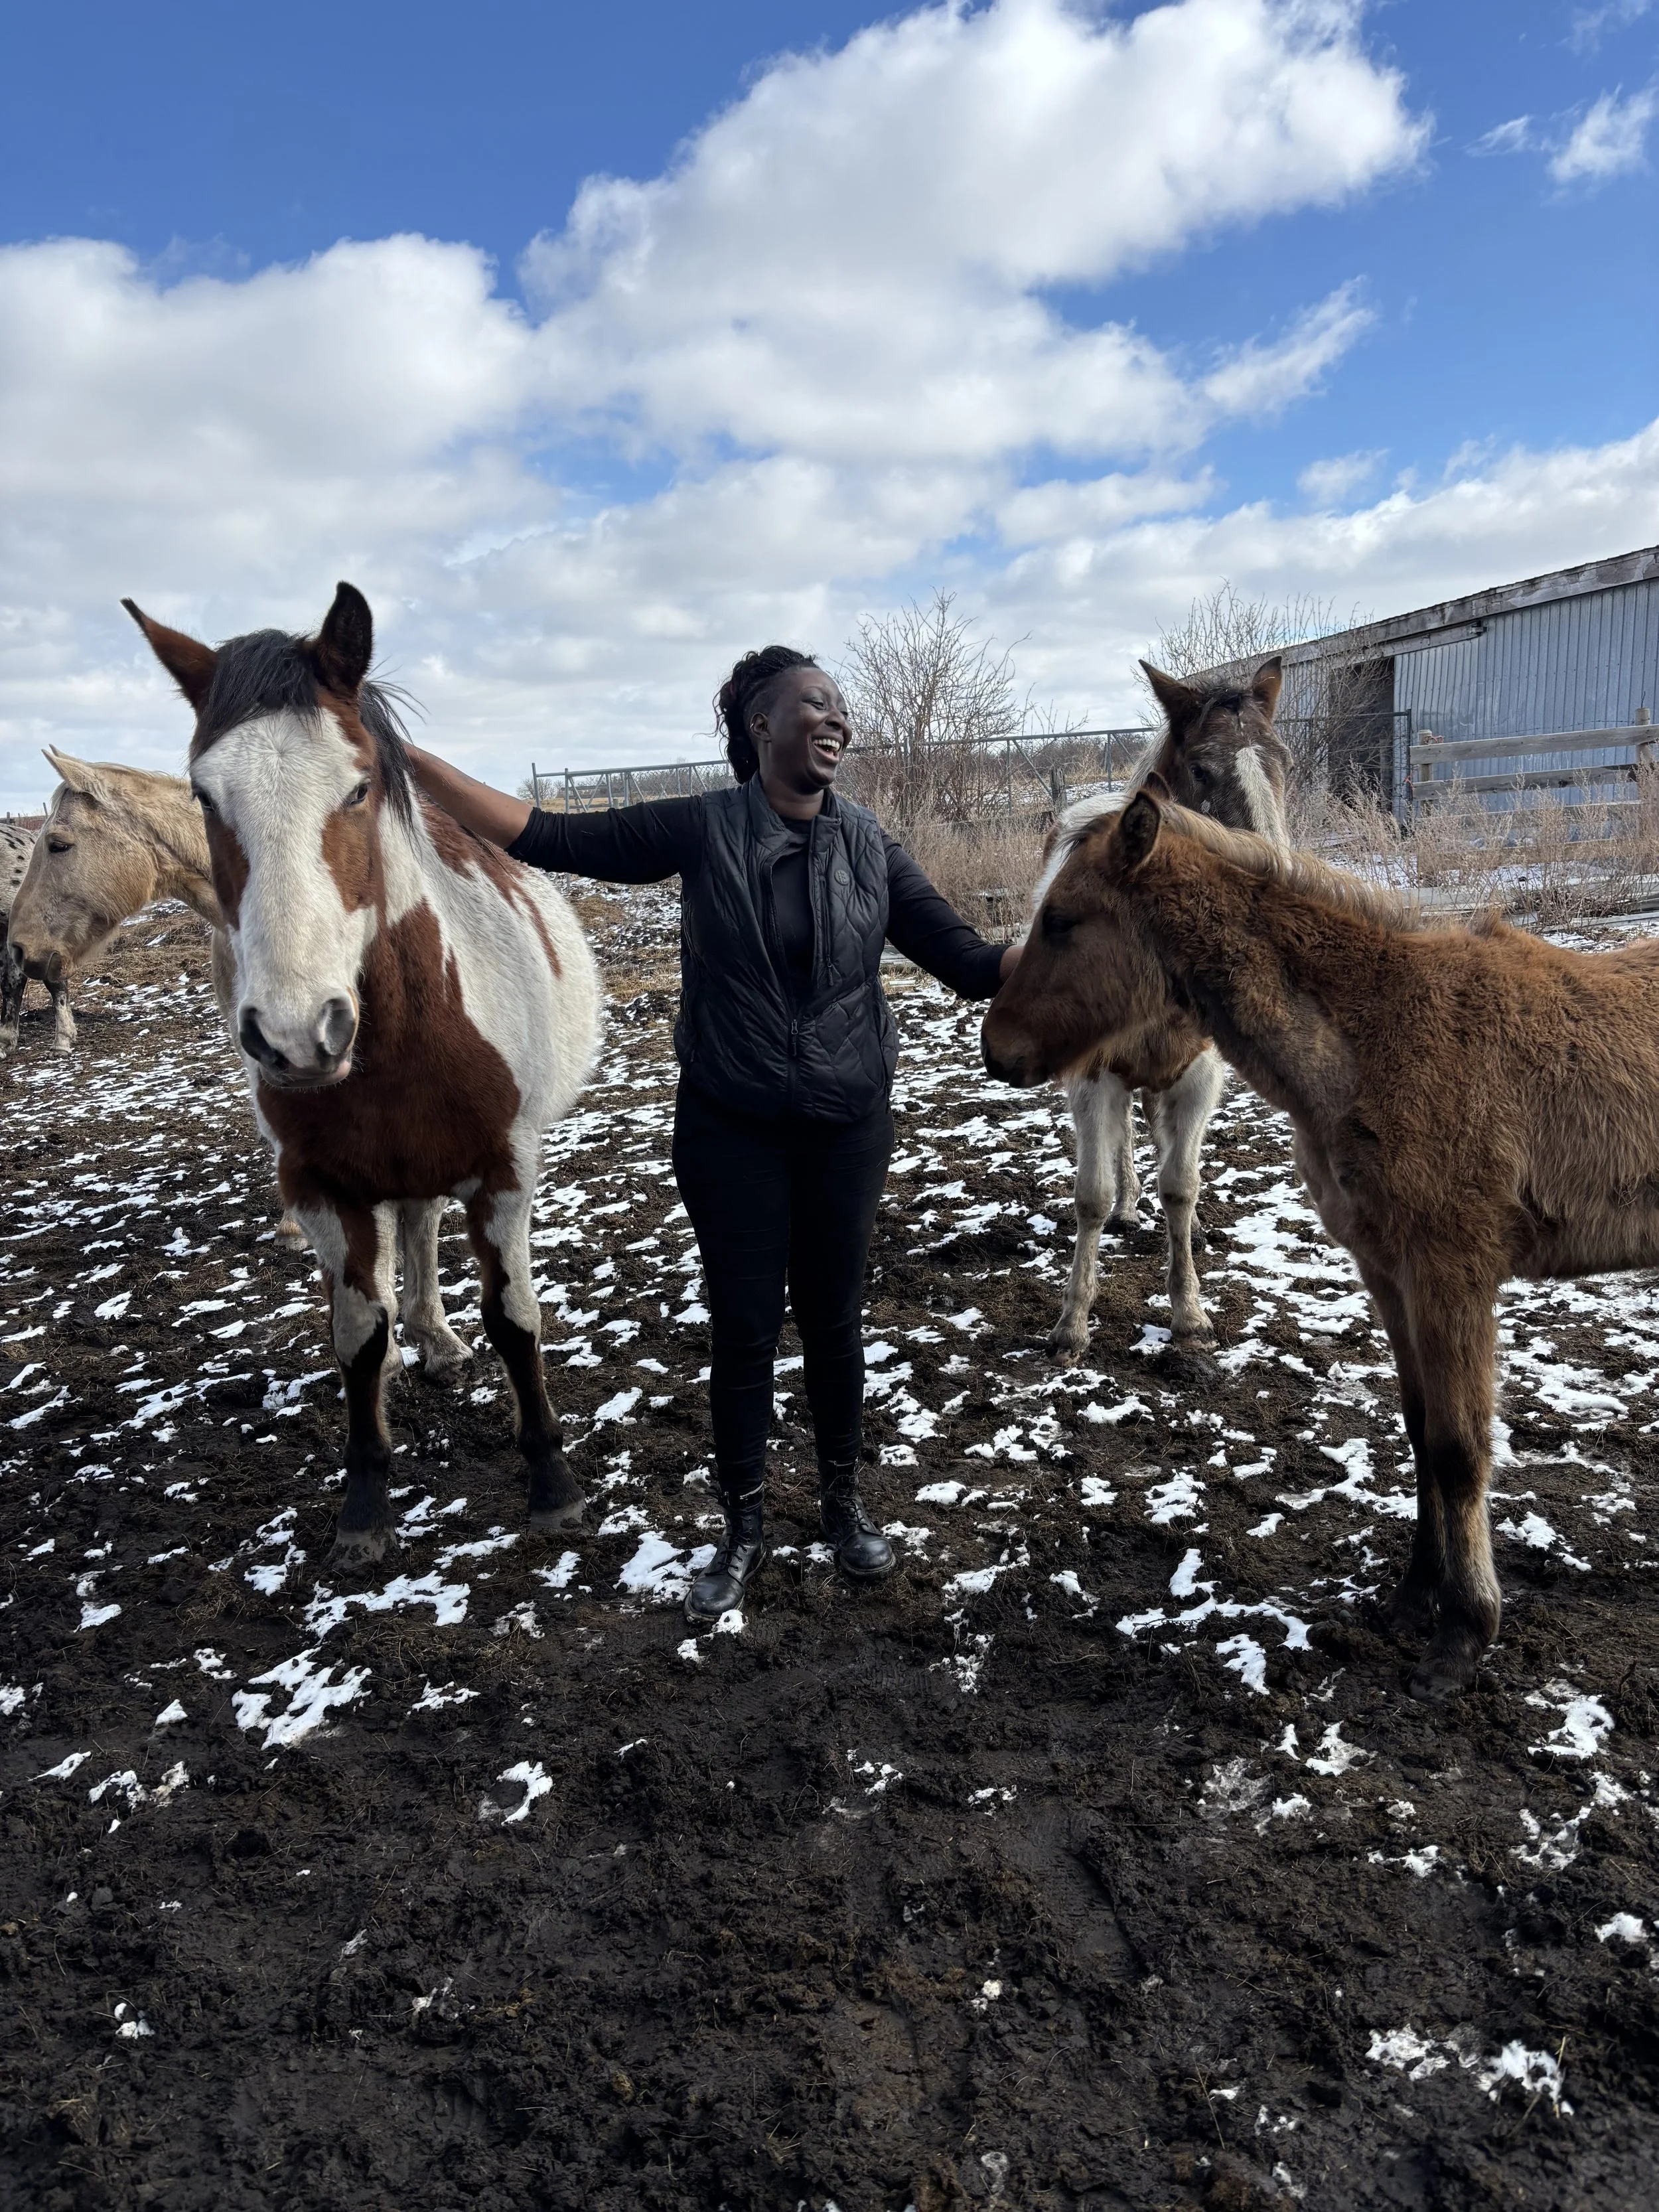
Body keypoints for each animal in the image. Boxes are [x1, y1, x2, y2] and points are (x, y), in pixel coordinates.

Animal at [124, 582, 602, 1565]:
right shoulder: (321, 1190)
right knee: (412, 1228)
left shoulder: (505, 1174)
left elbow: (516, 1319)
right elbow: (357, 1337)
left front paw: (551, 1481)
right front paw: (365, 1503)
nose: (297, 1034)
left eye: (358, 785)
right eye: (201, 793)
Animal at [983, 785, 1659, 1700]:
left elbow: (1459, 1448)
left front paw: (1463, 1633)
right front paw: (1413, 1597)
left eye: (1061, 919)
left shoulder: (1453, 1274)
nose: (996, 1049)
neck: (1379, 1035)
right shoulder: (1386, 1271)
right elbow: (1418, 1430)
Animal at [1043, 658, 1289, 1374]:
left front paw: (1189, 1316)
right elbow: (1091, 1194)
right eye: (1202, 771)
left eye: (1282, 762)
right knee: (1123, 1142)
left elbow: (1181, 1184)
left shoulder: (1199, 1074)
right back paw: (1128, 1208)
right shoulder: (1093, 1075)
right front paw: (1072, 1324)